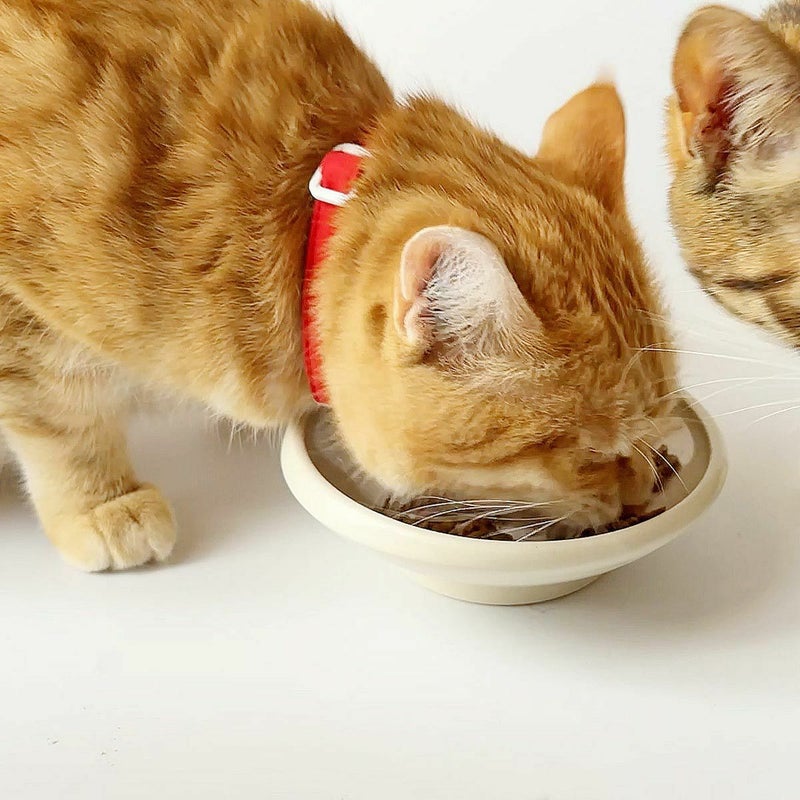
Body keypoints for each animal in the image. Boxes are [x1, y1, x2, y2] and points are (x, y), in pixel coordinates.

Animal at [0, 0, 676, 571]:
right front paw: (101, 502)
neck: (295, 218)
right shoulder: (22, 318)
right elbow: (62, 417)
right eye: (591, 455)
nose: (641, 494)